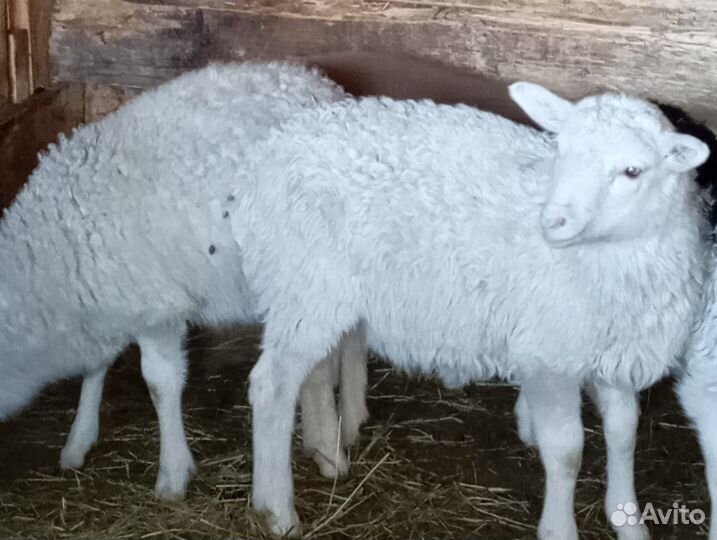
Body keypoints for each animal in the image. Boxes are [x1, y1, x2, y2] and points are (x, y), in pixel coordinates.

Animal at [0, 61, 368, 500]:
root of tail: (328, 89)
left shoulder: (154, 308)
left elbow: (160, 383)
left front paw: (172, 475)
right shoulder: (110, 297)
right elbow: (97, 364)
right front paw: (78, 441)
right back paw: (349, 421)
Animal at [228, 84, 712, 538]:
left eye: (633, 171)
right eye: (561, 149)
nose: (552, 221)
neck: (612, 259)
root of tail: (267, 153)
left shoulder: (614, 352)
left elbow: (624, 433)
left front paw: (629, 521)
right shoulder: (548, 356)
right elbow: (567, 453)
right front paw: (559, 528)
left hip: (312, 296)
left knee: (308, 374)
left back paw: (327, 455)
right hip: (305, 280)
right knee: (271, 386)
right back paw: (276, 510)